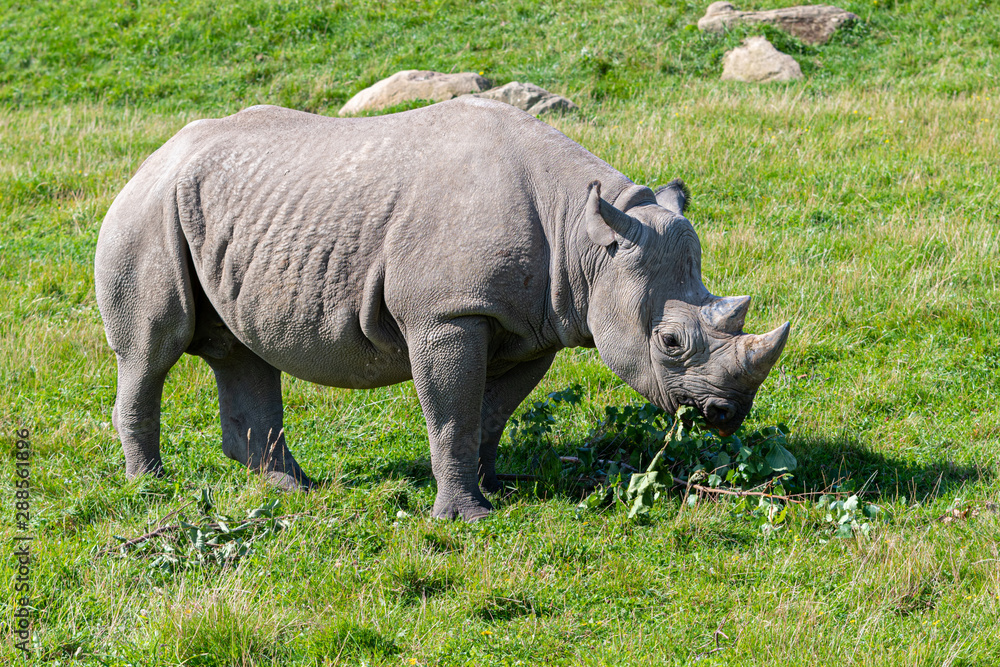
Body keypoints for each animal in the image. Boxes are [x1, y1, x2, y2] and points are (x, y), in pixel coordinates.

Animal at [95, 98, 789, 520]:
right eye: (669, 342)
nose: (728, 414)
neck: (588, 238)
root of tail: (151, 156)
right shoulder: (447, 314)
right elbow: (452, 411)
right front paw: (467, 517)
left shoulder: (531, 323)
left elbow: (490, 412)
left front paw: (495, 488)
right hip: (145, 211)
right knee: (152, 350)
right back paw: (150, 487)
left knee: (241, 349)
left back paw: (295, 488)